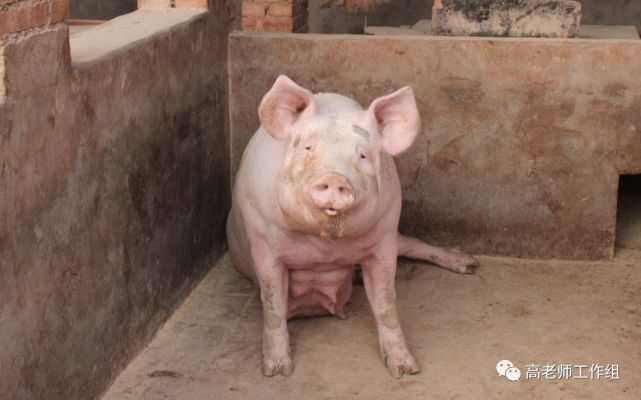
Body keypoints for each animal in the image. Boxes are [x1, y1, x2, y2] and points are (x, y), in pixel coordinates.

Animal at [225, 76, 476, 378]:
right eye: (307, 148)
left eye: (363, 155)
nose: (335, 178)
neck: (325, 242)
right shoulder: (263, 242)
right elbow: (273, 306)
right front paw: (277, 371)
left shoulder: (383, 239)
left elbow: (386, 303)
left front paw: (405, 370)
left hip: (395, 235)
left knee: (414, 245)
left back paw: (468, 264)